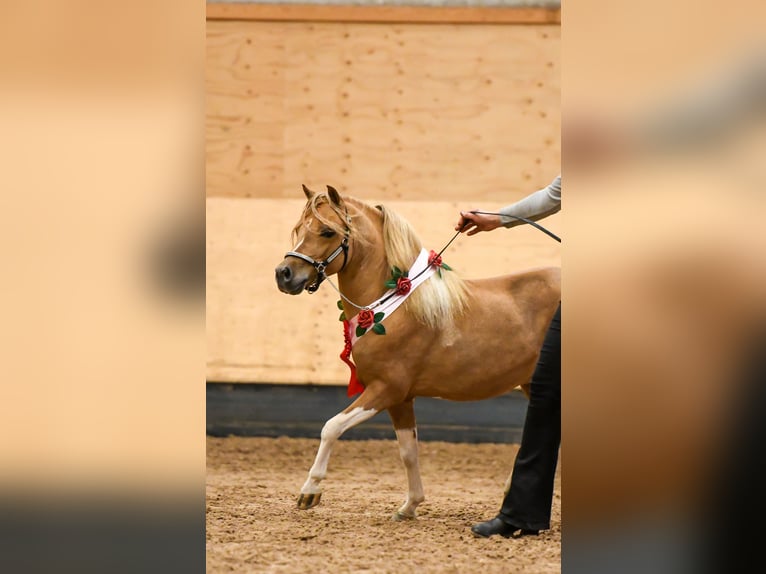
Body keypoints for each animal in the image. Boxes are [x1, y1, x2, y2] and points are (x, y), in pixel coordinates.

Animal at [276, 186, 564, 520]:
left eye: (327, 231)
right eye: (299, 229)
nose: (284, 274)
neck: (394, 303)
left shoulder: (386, 389)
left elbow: (331, 427)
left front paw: (310, 490)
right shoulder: (400, 399)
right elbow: (408, 451)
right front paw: (410, 505)